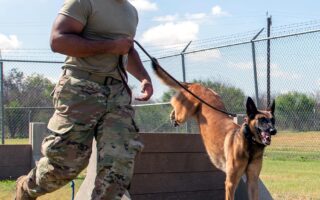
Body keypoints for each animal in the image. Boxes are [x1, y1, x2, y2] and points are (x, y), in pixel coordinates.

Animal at [152, 66, 276, 199]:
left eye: (273, 120)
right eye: (262, 120)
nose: (273, 131)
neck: (249, 143)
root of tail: (197, 84)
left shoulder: (253, 181)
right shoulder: (231, 182)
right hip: (184, 114)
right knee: (175, 104)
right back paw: (172, 115)